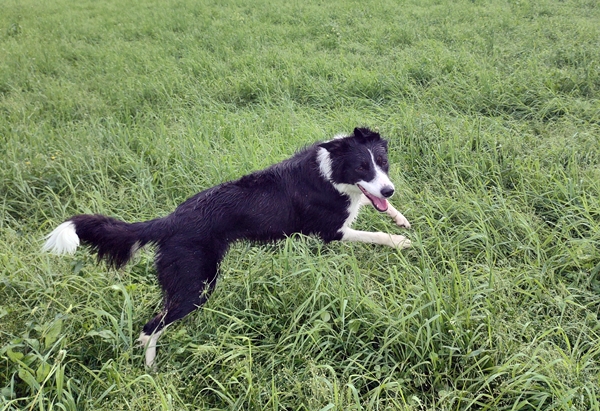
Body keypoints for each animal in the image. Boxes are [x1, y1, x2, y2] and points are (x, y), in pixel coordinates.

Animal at [42, 128, 410, 366]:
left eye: (383, 163)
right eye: (362, 167)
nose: (389, 189)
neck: (330, 170)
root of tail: (170, 220)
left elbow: (381, 210)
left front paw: (400, 218)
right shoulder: (330, 231)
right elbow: (372, 234)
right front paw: (400, 241)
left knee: (151, 325)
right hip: (197, 285)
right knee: (152, 328)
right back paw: (152, 369)